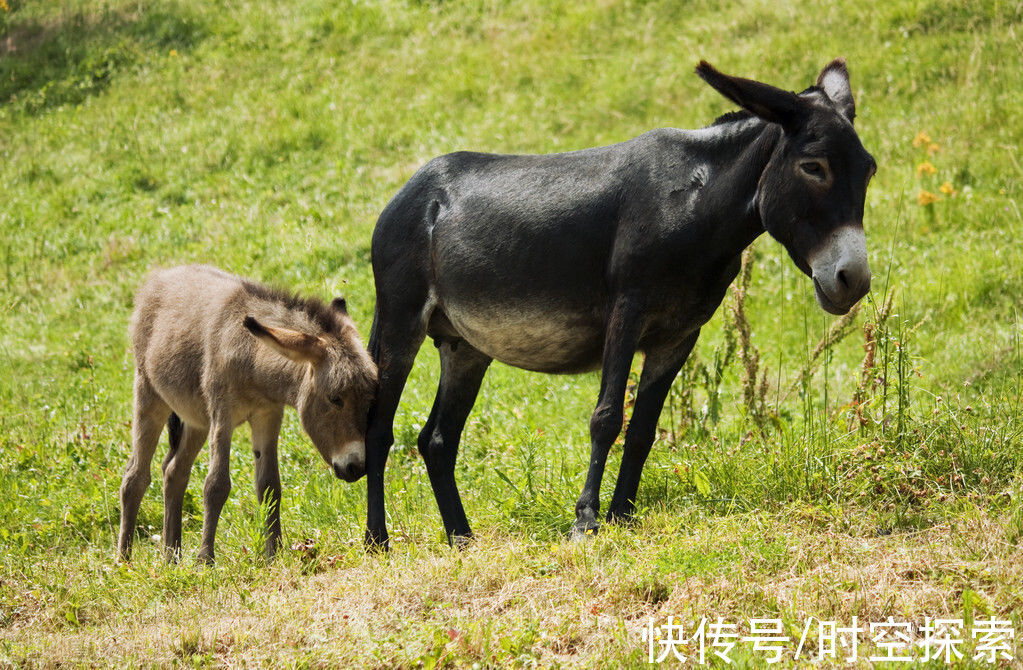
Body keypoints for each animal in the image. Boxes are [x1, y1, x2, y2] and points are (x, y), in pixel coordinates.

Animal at [119, 263, 376, 564]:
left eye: (370, 398)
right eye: (335, 399)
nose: (357, 468)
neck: (253, 358)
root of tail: (164, 273)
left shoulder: (267, 416)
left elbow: (269, 485)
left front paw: (273, 555)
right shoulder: (223, 414)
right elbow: (216, 485)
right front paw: (205, 561)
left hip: (196, 419)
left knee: (174, 472)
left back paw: (172, 557)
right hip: (150, 394)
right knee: (135, 476)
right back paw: (123, 560)